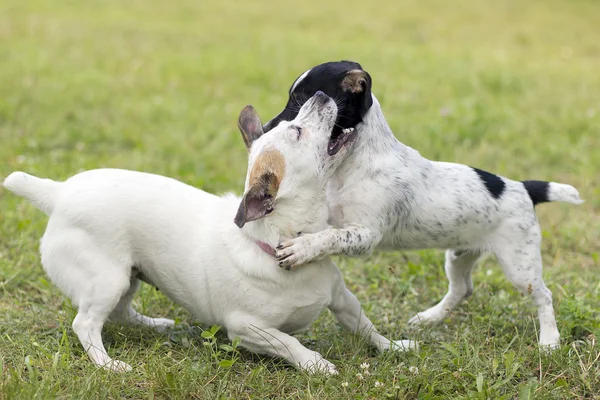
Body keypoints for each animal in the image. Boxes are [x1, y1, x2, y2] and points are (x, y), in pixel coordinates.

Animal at [3, 92, 418, 374]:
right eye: (297, 130)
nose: (319, 94)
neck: (279, 241)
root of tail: (58, 193)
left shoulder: (342, 299)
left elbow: (365, 326)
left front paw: (395, 346)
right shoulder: (247, 328)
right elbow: (287, 341)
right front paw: (314, 364)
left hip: (128, 277)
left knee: (119, 312)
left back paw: (156, 325)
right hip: (107, 278)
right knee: (86, 323)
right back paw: (108, 364)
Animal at [264, 61, 584, 348]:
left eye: (301, 99)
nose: (266, 127)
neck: (354, 164)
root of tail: (523, 188)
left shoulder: (365, 235)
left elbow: (329, 236)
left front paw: (301, 249)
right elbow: (321, 228)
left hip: (519, 265)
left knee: (544, 296)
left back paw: (549, 340)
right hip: (459, 255)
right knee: (462, 289)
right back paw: (430, 318)